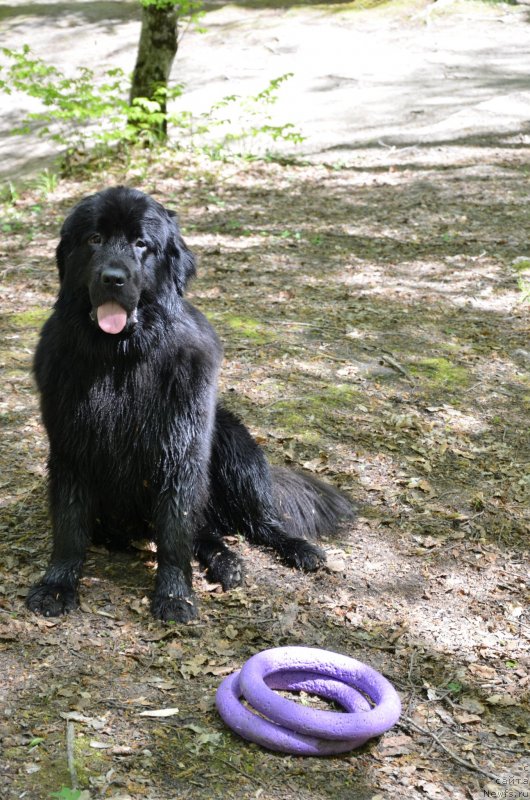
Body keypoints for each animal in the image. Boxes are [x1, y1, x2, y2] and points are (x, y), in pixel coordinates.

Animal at [26, 188, 352, 624]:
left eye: (141, 244)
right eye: (94, 239)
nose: (112, 277)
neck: (121, 359)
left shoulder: (180, 449)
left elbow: (176, 532)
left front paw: (174, 595)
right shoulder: (71, 448)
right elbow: (69, 526)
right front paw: (57, 585)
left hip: (234, 445)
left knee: (259, 522)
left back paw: (293, 549)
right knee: (207, 532)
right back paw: (226, 562)